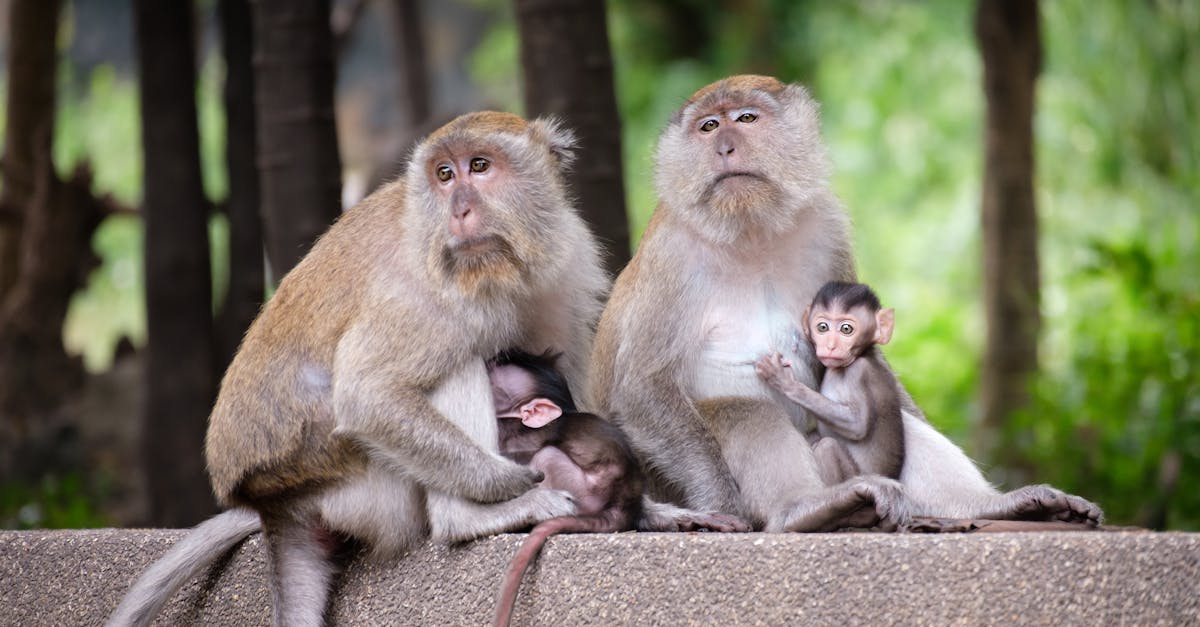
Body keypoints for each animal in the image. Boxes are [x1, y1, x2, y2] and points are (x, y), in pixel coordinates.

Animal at [753, 282, 902, 482]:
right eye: (822, 327)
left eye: (846, 329)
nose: (830, 346)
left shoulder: (859, 373)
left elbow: (857, 425)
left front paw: (785, 381)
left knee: (827, 447)